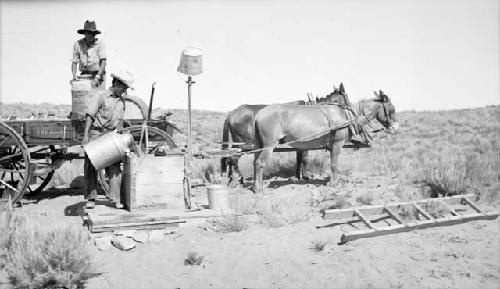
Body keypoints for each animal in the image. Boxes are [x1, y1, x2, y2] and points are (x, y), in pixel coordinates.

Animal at [254, 91, 398, 192]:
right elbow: (334, 164)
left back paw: (256, 186)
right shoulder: (337, 144)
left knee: (255, 162)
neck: (346, 115)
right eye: (392, 109)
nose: (395, 127)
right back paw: (259, 189)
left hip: (260, 146)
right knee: (260, 163)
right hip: (268, 146)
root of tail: (258, 114)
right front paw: (333, 183)